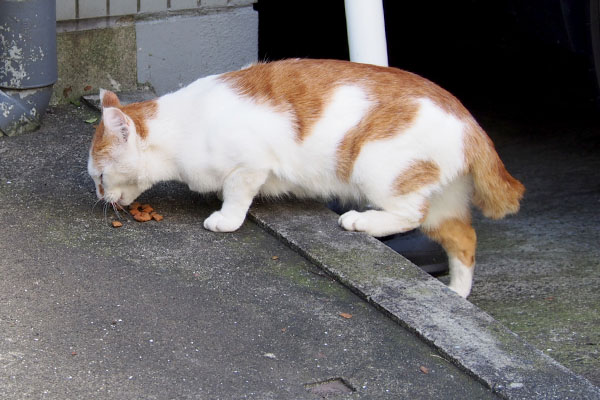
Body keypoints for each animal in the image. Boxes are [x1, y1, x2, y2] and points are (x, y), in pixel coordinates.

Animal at [86, 58, 524, 296]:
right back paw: (457, 294)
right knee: (464, 239)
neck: (183, 127)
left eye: (101, 177)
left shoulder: (251, 164)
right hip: (443, 204)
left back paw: (360, 222)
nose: (98, 196)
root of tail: (469, 119)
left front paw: (225, 219)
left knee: (409, 214)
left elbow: (237, 193)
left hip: (377, 168)